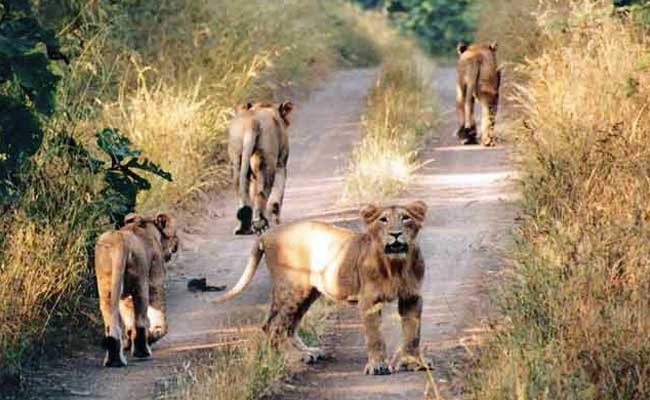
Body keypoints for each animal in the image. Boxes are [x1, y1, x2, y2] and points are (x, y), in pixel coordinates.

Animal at [93, 214, 177, 368]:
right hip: (140, 282)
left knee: (111, 319)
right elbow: (159, 314)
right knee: (140, 319)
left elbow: (128, 318)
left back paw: (114, 360)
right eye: (174, 235)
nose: (176, 246)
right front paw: (154, 335)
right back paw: (142, 351)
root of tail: (118, 240)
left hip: (106, 281)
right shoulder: (156, 279)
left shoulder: (124, 296)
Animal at [214, 203, 430, 376]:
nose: (396, 234)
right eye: (383, 220)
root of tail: (267, 234)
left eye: (406, 218)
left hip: (306, 292)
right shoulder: (369, 300)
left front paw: (413, 362)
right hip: (293, 288)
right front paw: (377, 366)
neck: (396, 265)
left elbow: (413, 333)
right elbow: (375, 336)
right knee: (275, 326)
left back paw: (306, 352)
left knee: (282, 325)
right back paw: (293, 355)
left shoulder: (412, 296)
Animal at [225, 101, 292, 236]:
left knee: (241, 190)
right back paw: (260, 224)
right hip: (266, 159)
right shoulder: (281, 163)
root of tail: (251, 122)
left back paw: (244, 228)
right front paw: (276, 217)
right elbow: (278, 192)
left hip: (237, 158)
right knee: (261, 193)